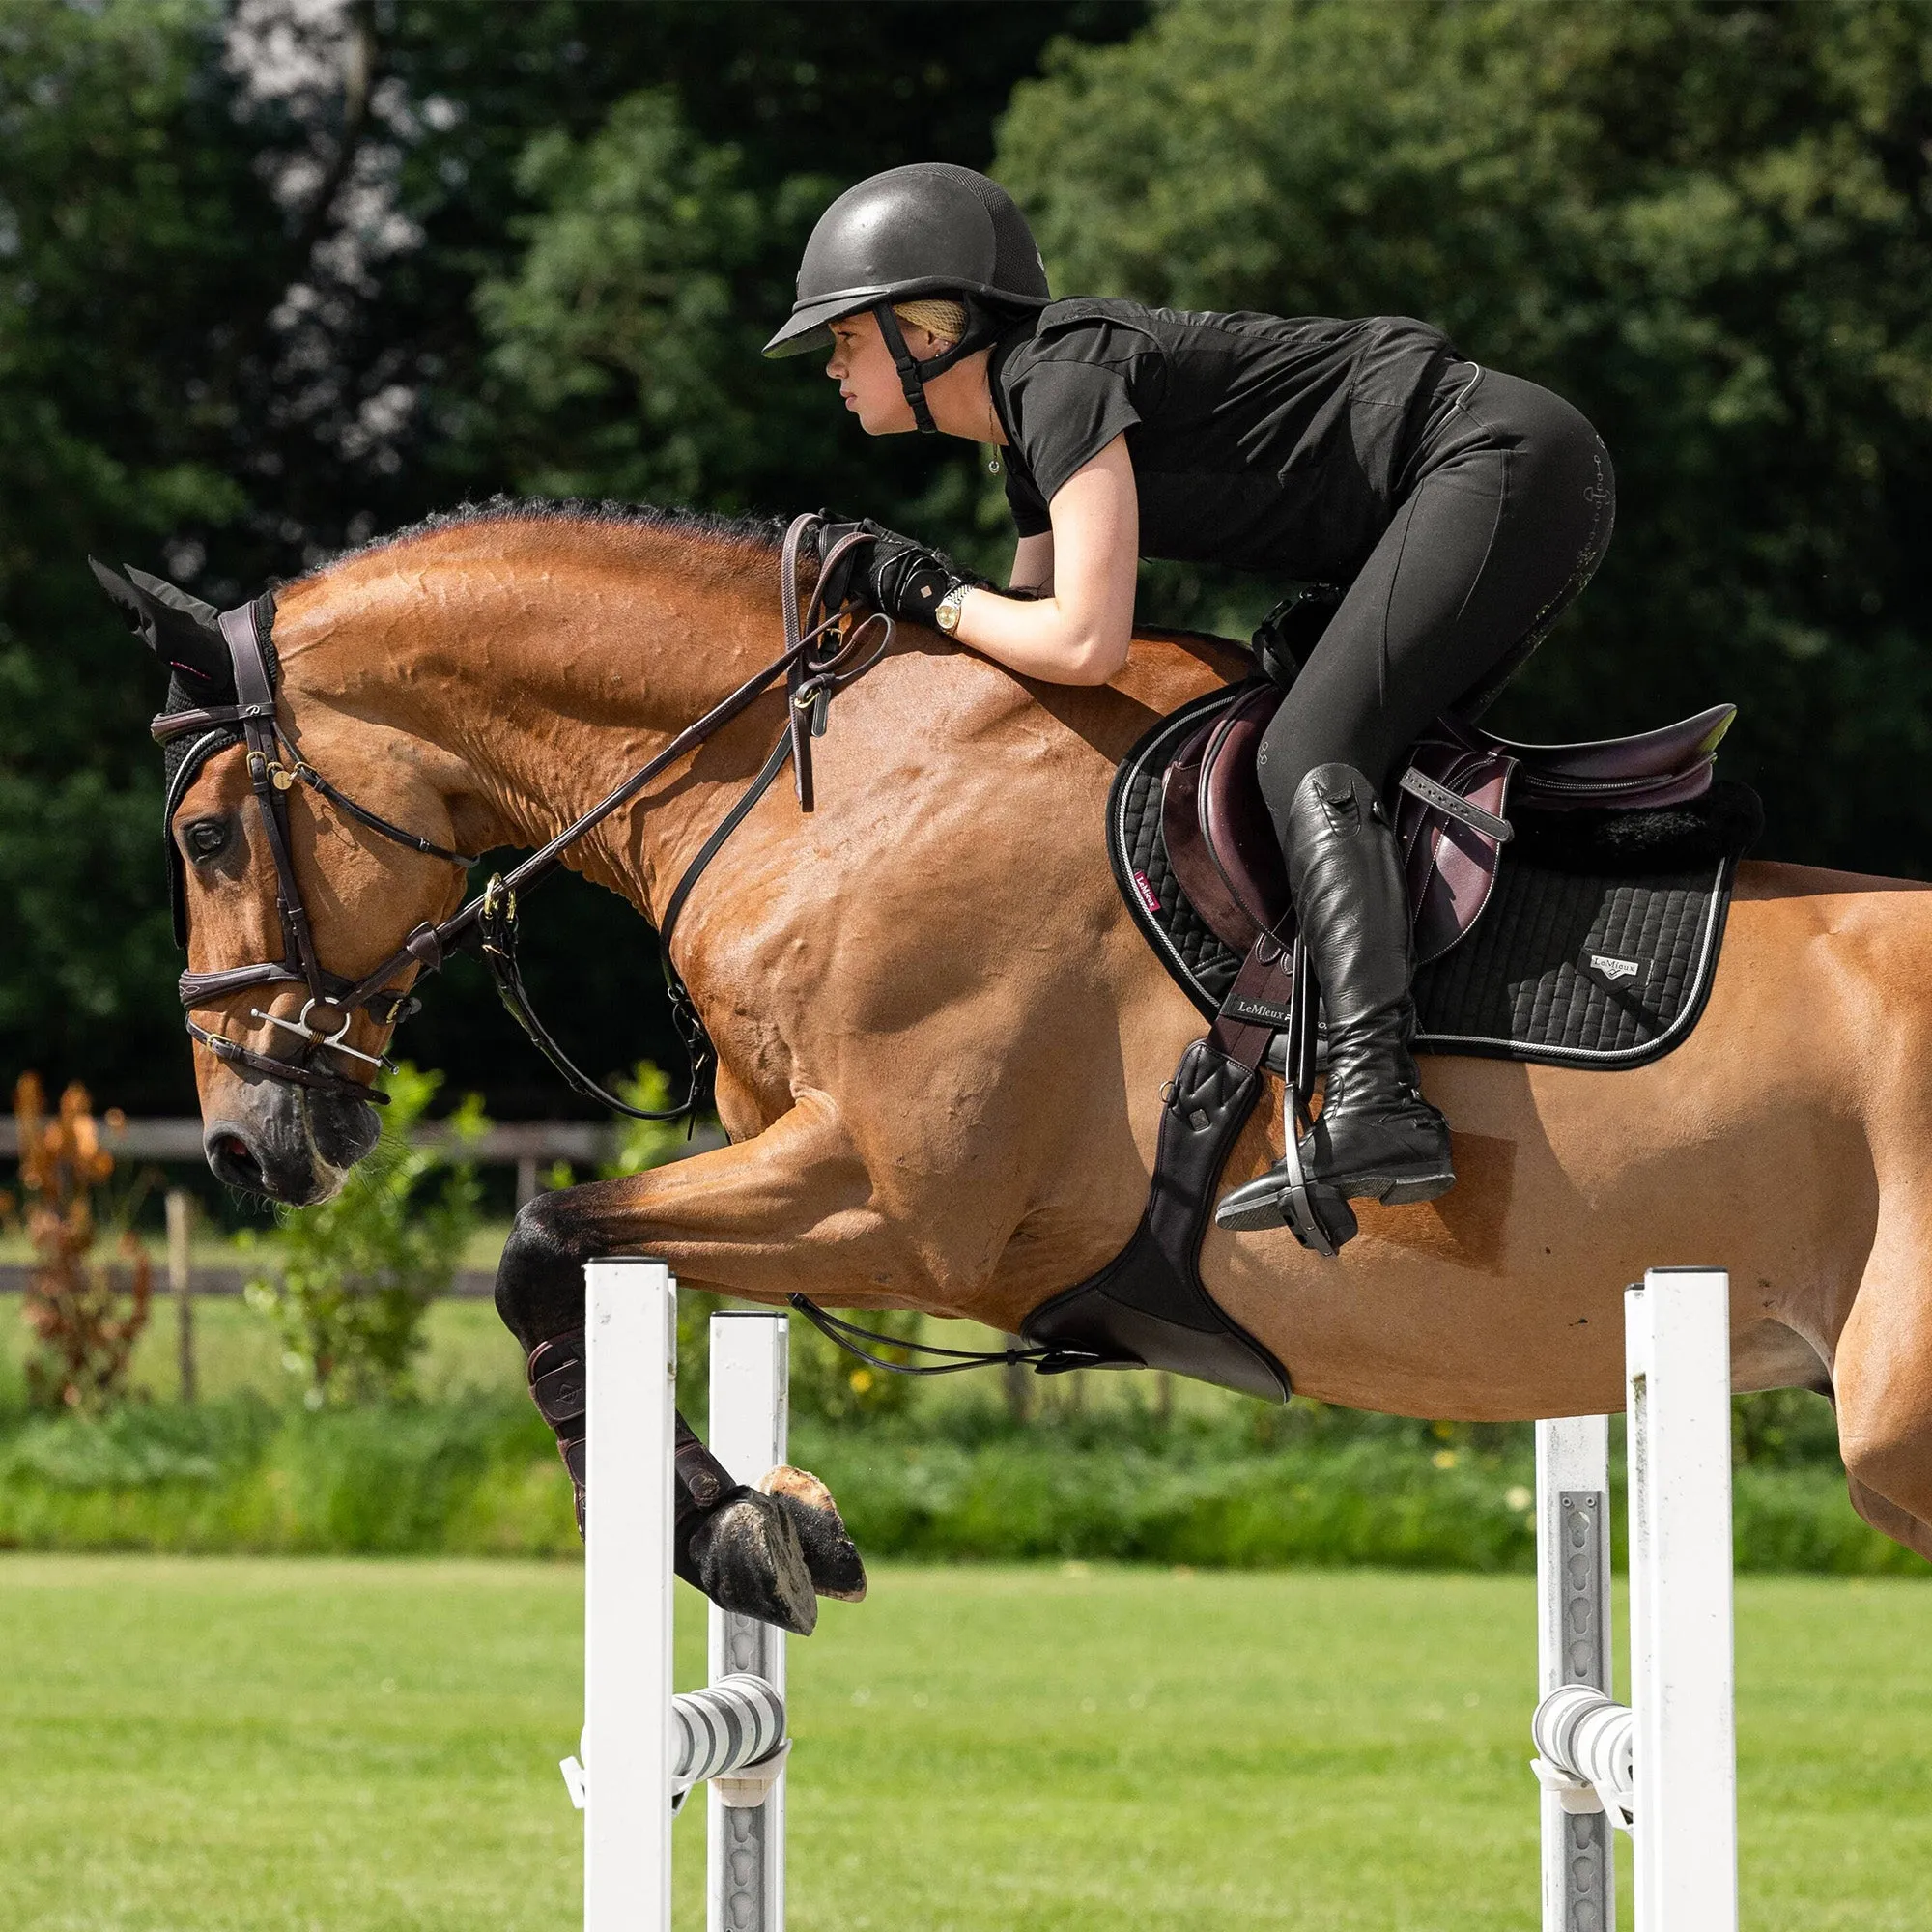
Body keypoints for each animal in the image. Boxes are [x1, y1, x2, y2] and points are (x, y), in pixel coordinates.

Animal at [113, 502, 1932, 1569]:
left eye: (205, 838)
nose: (245, 1143)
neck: (818, 780)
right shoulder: (805, 1177)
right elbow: (576, 1258)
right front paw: (766, 1523)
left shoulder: (900, 1204)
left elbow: (537, 1240)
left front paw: (730, 1540)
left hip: (1892, 1431)